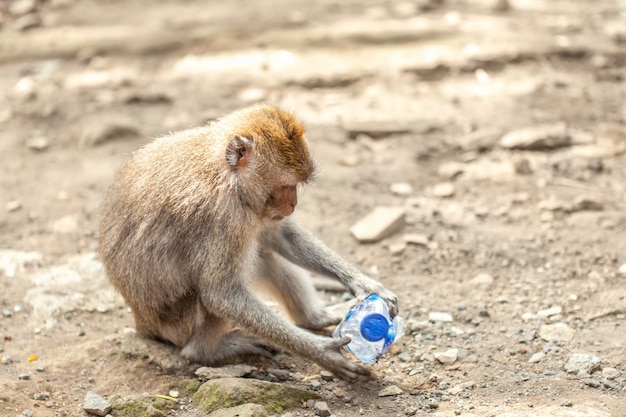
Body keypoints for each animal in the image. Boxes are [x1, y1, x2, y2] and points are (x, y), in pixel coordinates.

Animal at [98, 104, 398, 380]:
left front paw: (365, 284)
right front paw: (323, 353)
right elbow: (221, 295)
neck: (225, 172)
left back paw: (313, 318)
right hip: (178, 326)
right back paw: (209, 351)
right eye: (286, 184)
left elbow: (278, 235)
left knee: (263, 252)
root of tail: (143, 325)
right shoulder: (224, 216)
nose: (293, 204)